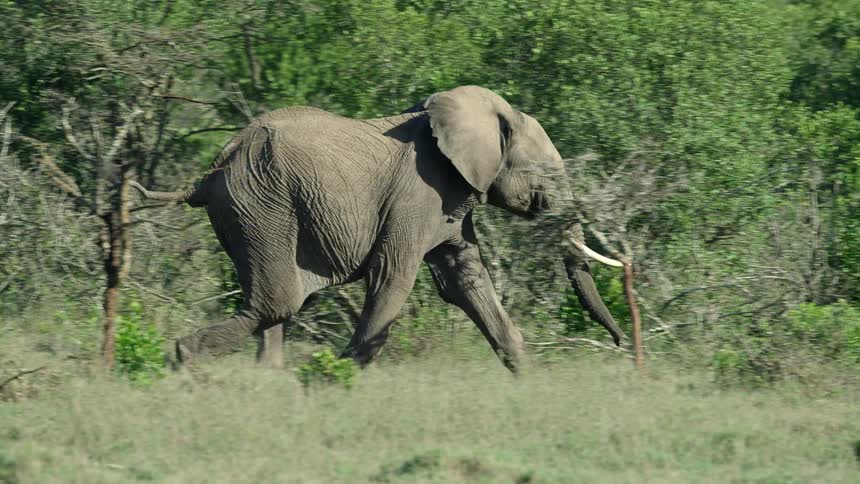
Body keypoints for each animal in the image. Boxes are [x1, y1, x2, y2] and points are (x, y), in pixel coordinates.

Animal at [131, 85, 624, 372]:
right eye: (546, 173)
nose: (621, 343)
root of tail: (213, 169)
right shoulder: (419, 192)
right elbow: (394, 277)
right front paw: (331, 378)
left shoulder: (451, 203)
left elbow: (466, 281)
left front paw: (525, 374)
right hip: (259, 204)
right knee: (276, 302)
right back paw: (187, 362)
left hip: (250, 211)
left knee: (271, 302)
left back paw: (263, 379)